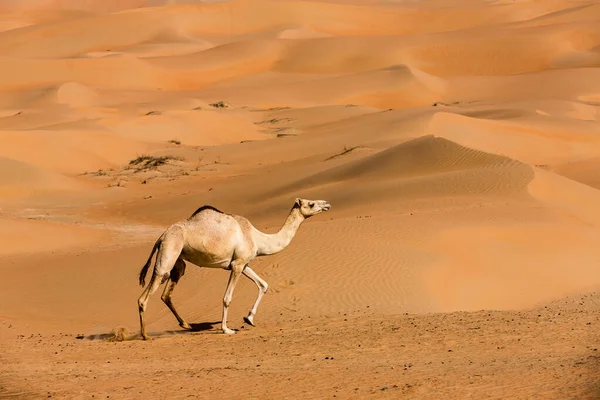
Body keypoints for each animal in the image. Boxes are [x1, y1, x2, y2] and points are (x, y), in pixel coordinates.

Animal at [137, 197, 330, 340]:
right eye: (311, 204)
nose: (327, 204)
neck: (257, 238)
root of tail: (161, 236)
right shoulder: (237, 265)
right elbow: (227, 298)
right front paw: (226, 329)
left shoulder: (243, 263)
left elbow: (263, 285)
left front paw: (249, 318)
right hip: (169, 252)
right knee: (144, 297)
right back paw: (146, 335)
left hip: (178, 260)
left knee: (166, 293)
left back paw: (186, 324)